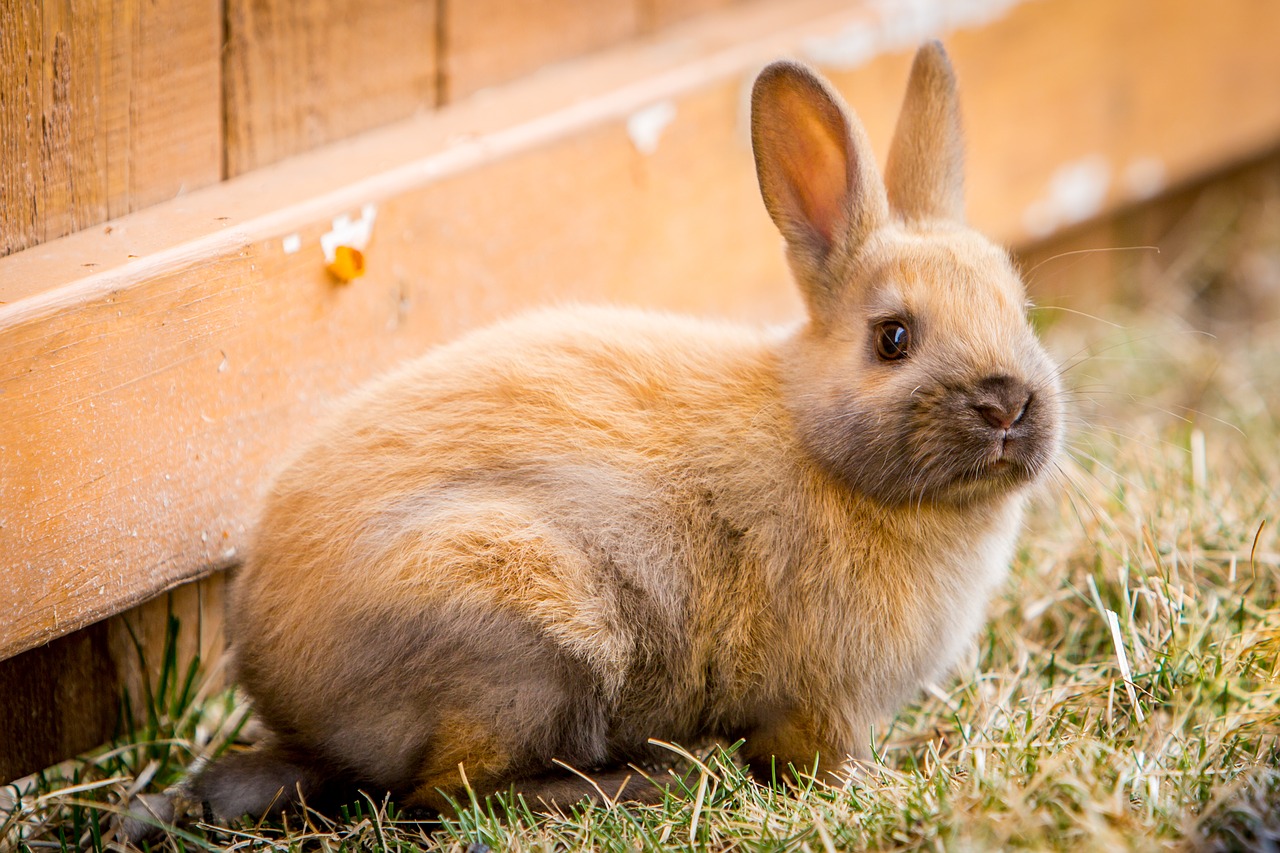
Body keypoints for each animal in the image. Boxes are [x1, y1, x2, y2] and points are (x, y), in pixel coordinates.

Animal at [188, 41, 1063, 820]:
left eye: (1018, 308)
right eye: (892, 338)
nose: (1007, 405)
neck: (818, 443)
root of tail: (282, 684)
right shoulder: (827, 700)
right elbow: (821, 756)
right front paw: (866, 785)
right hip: (526, 640)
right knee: (447, 794)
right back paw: (649, 779)